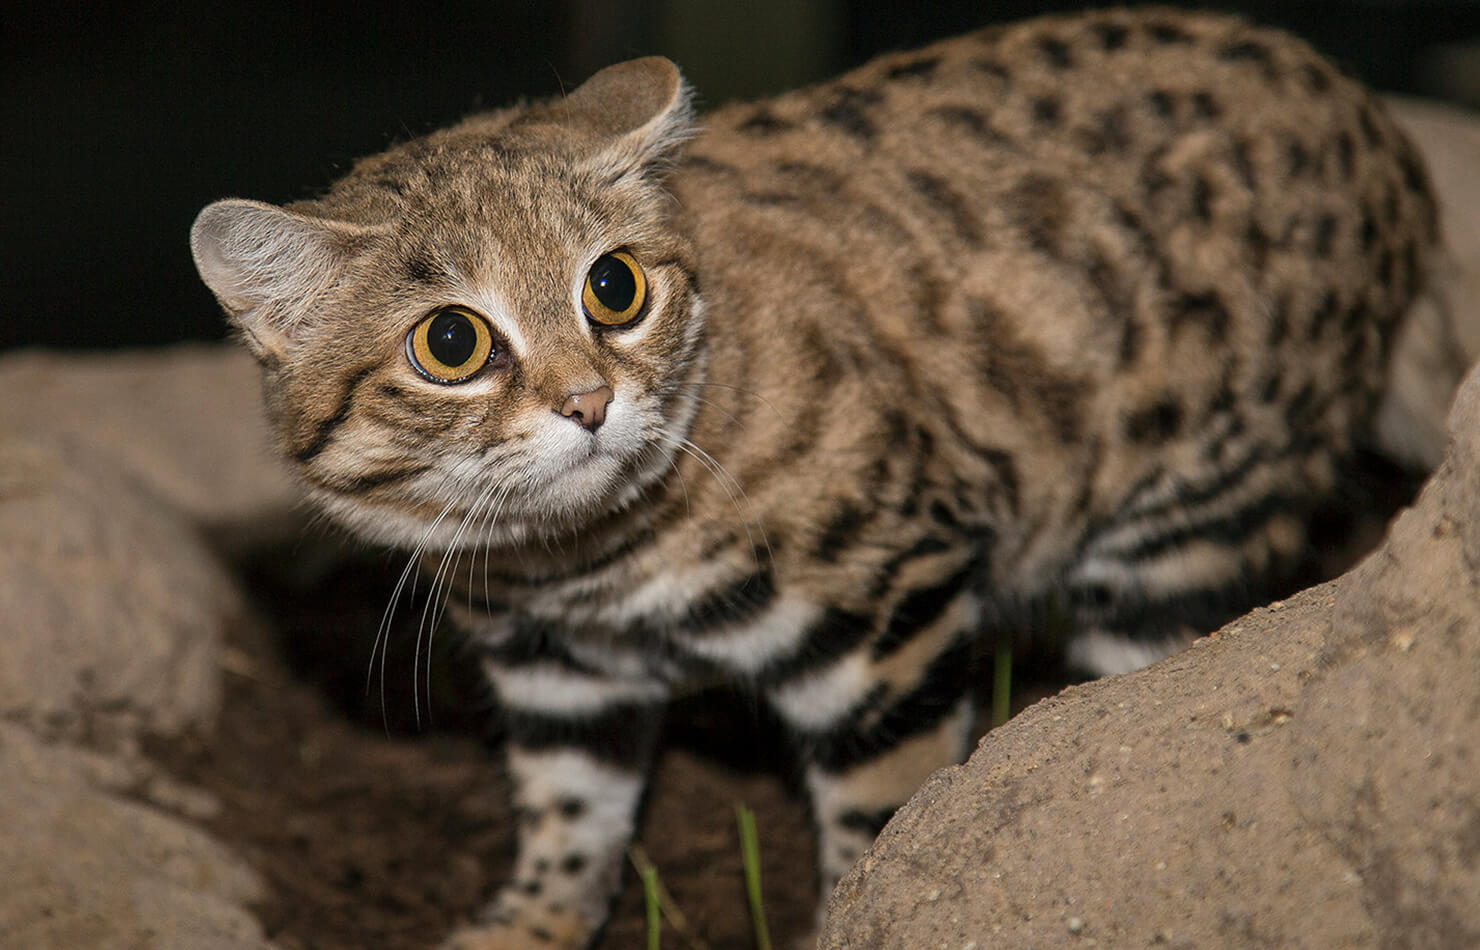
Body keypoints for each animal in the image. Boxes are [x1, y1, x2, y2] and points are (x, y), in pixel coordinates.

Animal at [185, 9, 1444, 947]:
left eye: (614, 286)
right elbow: (567, 815)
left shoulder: (887, 616)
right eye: (449, 342)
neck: (577, 557)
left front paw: (857, 910)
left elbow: (877, 812)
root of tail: (1376, 124)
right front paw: (526, 923)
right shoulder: (559, 675)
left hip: (1188, 516)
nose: (589, 403)